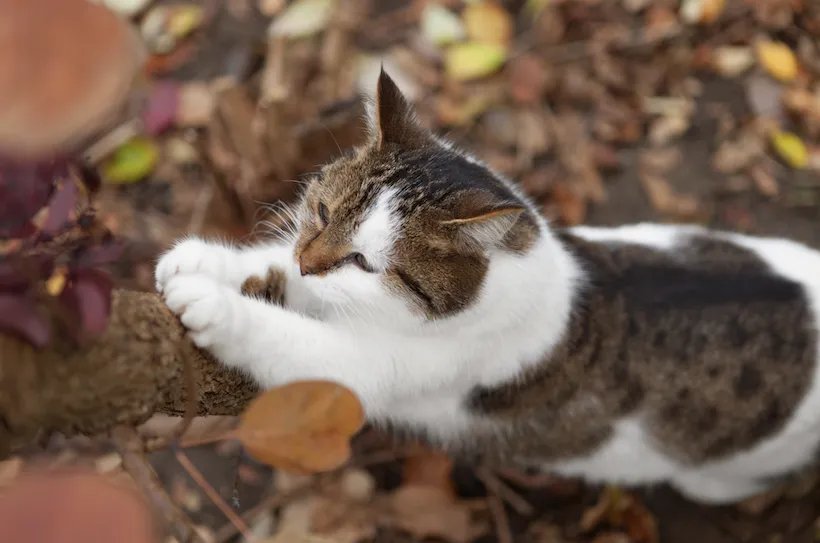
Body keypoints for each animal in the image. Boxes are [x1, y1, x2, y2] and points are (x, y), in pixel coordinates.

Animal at [155, 68, 820, 506]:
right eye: (320, 212)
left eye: (366, 263)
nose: (309, 263)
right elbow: (271, 272)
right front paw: (199, 261)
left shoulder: (381, 366)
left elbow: (294, 345)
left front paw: (216, 305)